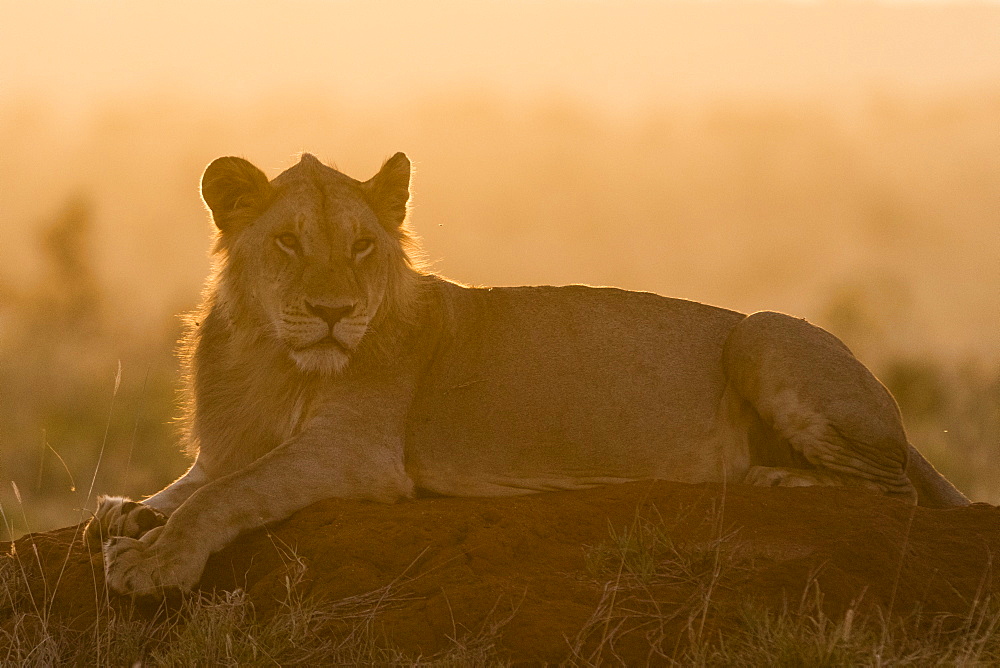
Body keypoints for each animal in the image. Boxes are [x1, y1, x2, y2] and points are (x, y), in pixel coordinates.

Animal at [88, 150, 968, 596]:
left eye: (362, 246)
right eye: (288, 242)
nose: (335, 311)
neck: (267, 353)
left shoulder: (356, 455)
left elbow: (230, 495)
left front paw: (154, 563)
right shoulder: (227, 444)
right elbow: (192, 484)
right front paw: (129, 512)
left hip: (758, 333)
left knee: (891, 491)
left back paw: (770, 478)